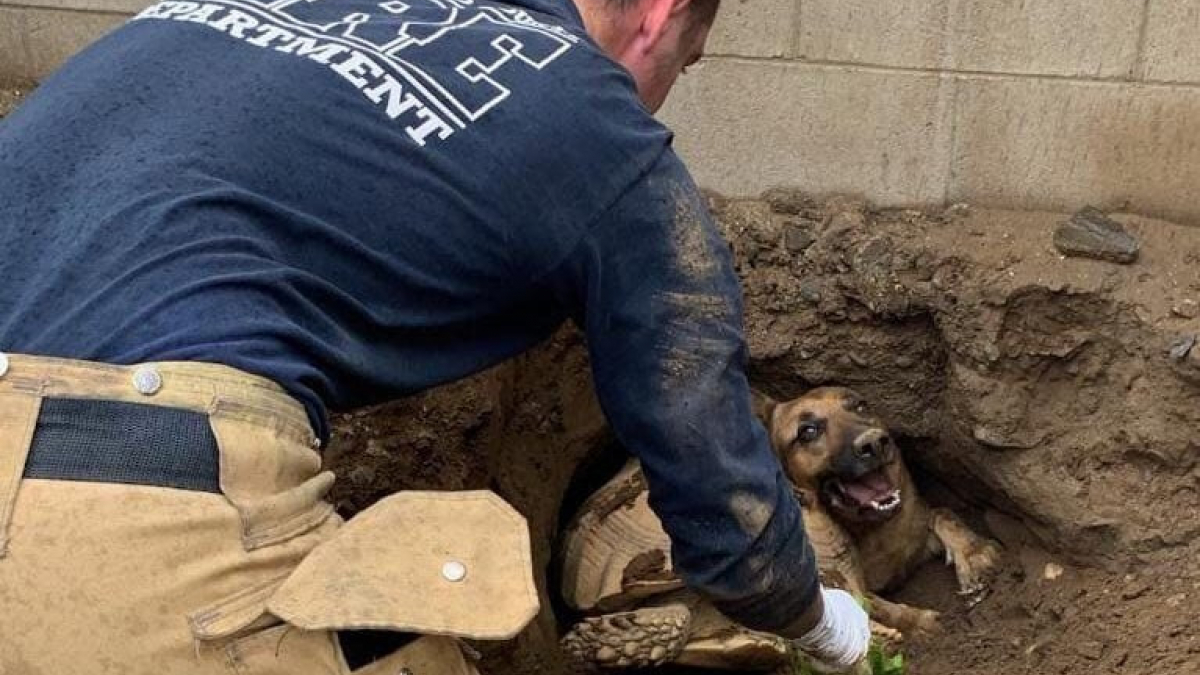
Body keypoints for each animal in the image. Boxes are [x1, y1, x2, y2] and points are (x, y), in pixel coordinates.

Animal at [758, 386, 1003, 638]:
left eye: (860, 406)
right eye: (808, 431)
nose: (875, 442)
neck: (870, 529)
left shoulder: (916, 528)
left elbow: (943, 514)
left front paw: (975, 554)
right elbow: (875, 606)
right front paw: (920, 622)